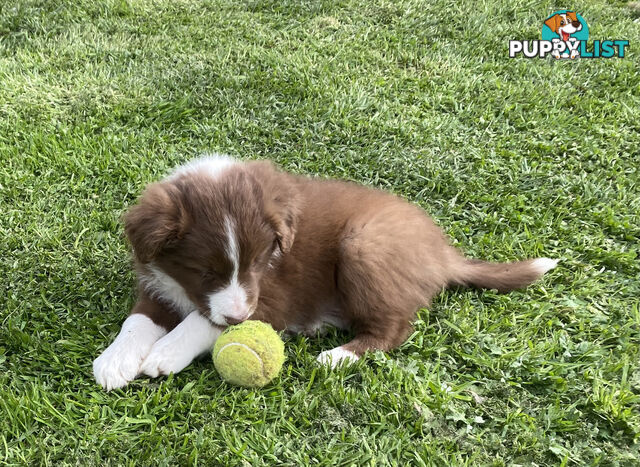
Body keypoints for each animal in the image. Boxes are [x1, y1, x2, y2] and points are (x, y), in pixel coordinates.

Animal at [92, 156, 556, 392]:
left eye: (258, 262)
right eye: (203, 271)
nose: (240, 318)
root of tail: (443, 252)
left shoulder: (271, 294)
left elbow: (203, 321)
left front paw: (166, 352)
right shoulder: (158, 282)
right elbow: (137, 320)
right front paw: (115, 360)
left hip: (364, 245)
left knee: (395, 328)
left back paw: (338, 356)